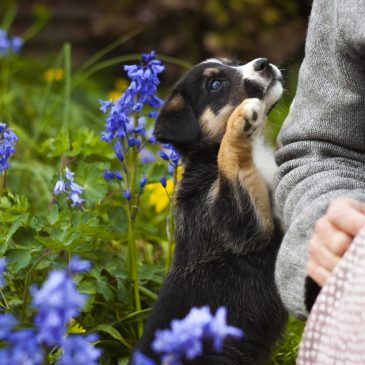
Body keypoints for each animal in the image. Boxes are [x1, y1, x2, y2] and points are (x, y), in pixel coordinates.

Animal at [131, 58, 288, 362]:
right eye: (215, 84)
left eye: (234, 63)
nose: (263, 63)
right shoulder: (242, 228)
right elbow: (230, 157)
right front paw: (240, 120)